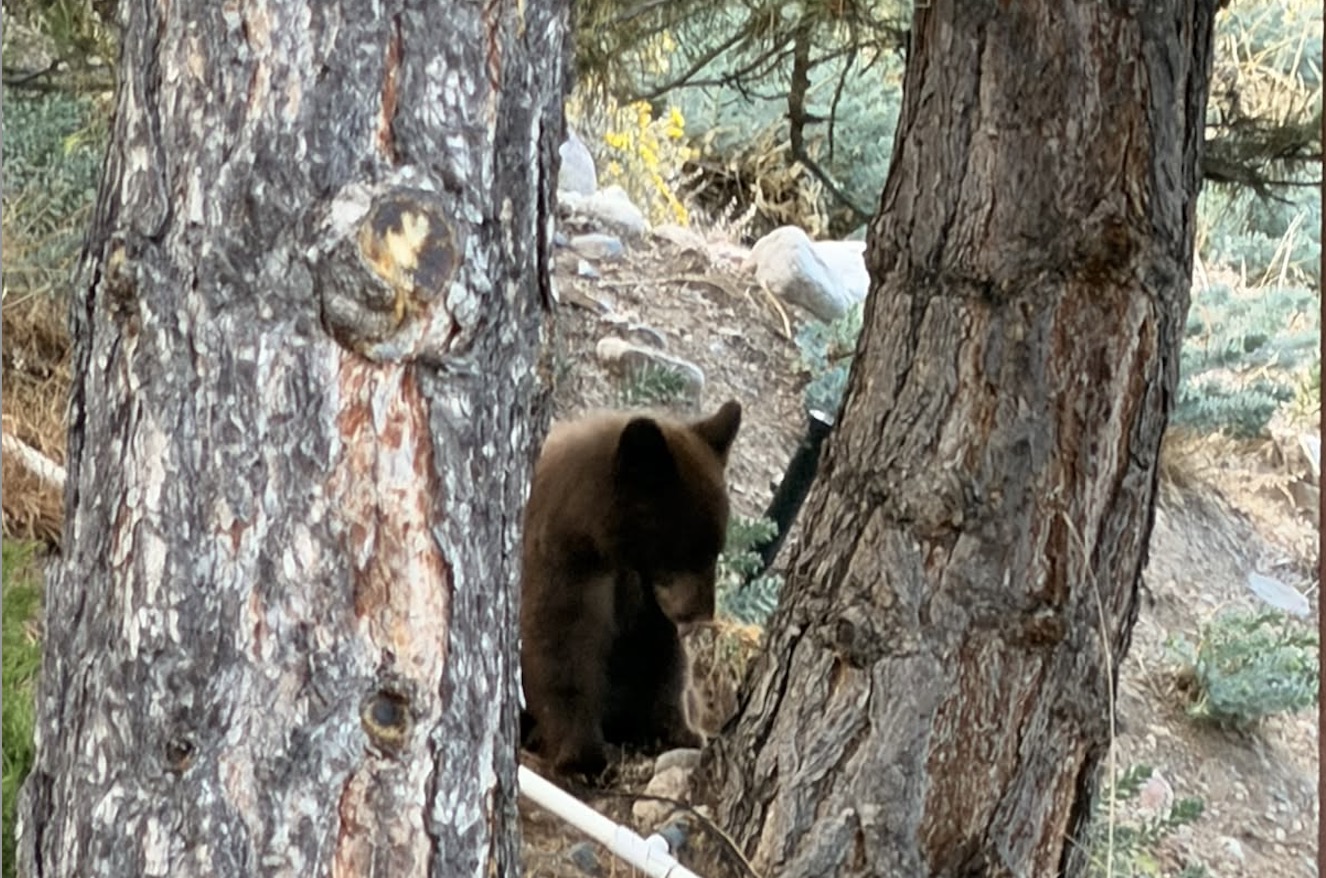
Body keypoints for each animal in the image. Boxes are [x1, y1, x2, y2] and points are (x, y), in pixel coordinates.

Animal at [518, 399, 742, 778]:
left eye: (716, 550)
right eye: (684, 551)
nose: (701, 615)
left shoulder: (646, 594)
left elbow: (663, 655)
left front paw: (681, 731)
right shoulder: (561, 564)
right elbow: (558, 648)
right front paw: (583, 756)